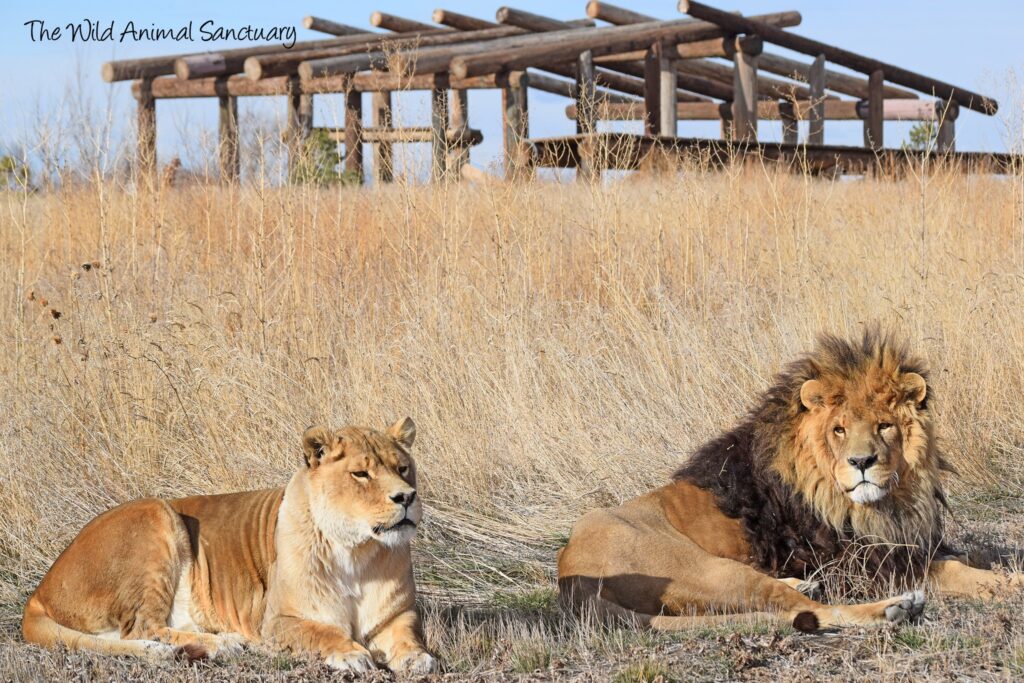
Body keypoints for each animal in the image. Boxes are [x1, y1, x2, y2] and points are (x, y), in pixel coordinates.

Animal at [22, 418, 437, 674]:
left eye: (402, 468)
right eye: (361, 474)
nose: (406, 497)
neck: (357, 552)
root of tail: (38, 593)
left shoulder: (398, 615)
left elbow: (408, 638)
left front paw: (418, 659)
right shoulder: (278, 621)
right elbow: (324, 633)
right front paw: (351, 654)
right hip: (156, 513)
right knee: (140, 628)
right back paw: (224, 645)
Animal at [558, 330, 1023, 631]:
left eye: (885, 425)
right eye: (839, 430)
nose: (862, 462)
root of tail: (568, 575)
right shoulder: (864, 564)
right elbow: (957, 571)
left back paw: (807, 583)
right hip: (708, 570)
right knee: (806, 612)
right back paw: (895, 610)